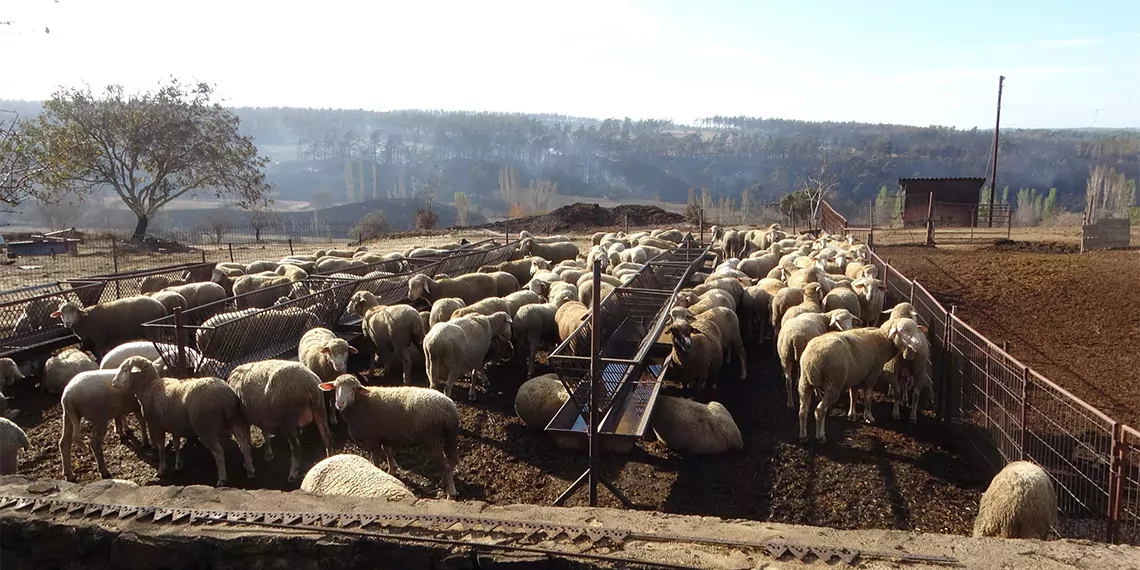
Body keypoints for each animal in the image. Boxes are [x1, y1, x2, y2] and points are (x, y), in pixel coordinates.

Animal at [110, 355, 254, 485]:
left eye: (124, 370)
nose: (113, 382)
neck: (149, 386)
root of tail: (224, 395)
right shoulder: (175, 424)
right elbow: (176, 443)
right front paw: (178, 465)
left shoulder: (156, 425)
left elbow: (161, 448)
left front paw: (162, 469)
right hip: (233, 418)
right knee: (243, 444)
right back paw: (250, 469)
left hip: (205, 425)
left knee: (218, 452)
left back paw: (222, 479)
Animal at [316, 373, 458, 499]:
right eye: (335, 387)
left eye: (352, 389)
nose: (339, 403)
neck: (360, 403)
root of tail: (450, 408)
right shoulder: (384, 435)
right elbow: (387, 451)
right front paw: (392, 471)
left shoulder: (372, 438)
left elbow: (376, 460)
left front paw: (379, 472)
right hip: (447, 437)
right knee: (450, 461)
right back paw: (443, 482)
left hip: (431, 439)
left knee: (445, 465)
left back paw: (451, 493)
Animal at [793, 319, 925, 442]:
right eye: (902, 330)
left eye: (915, 329)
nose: (919, 344)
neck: (882, 340)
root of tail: (812, 360)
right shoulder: (872, 374)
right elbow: (867, 397)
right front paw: (868, 416)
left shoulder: (855, 376)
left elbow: (853, 396)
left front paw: (852, 415)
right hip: (834, 383)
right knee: (820, 410)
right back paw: (820, 436)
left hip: (804, 382)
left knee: (802, 411)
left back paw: (803, 436)